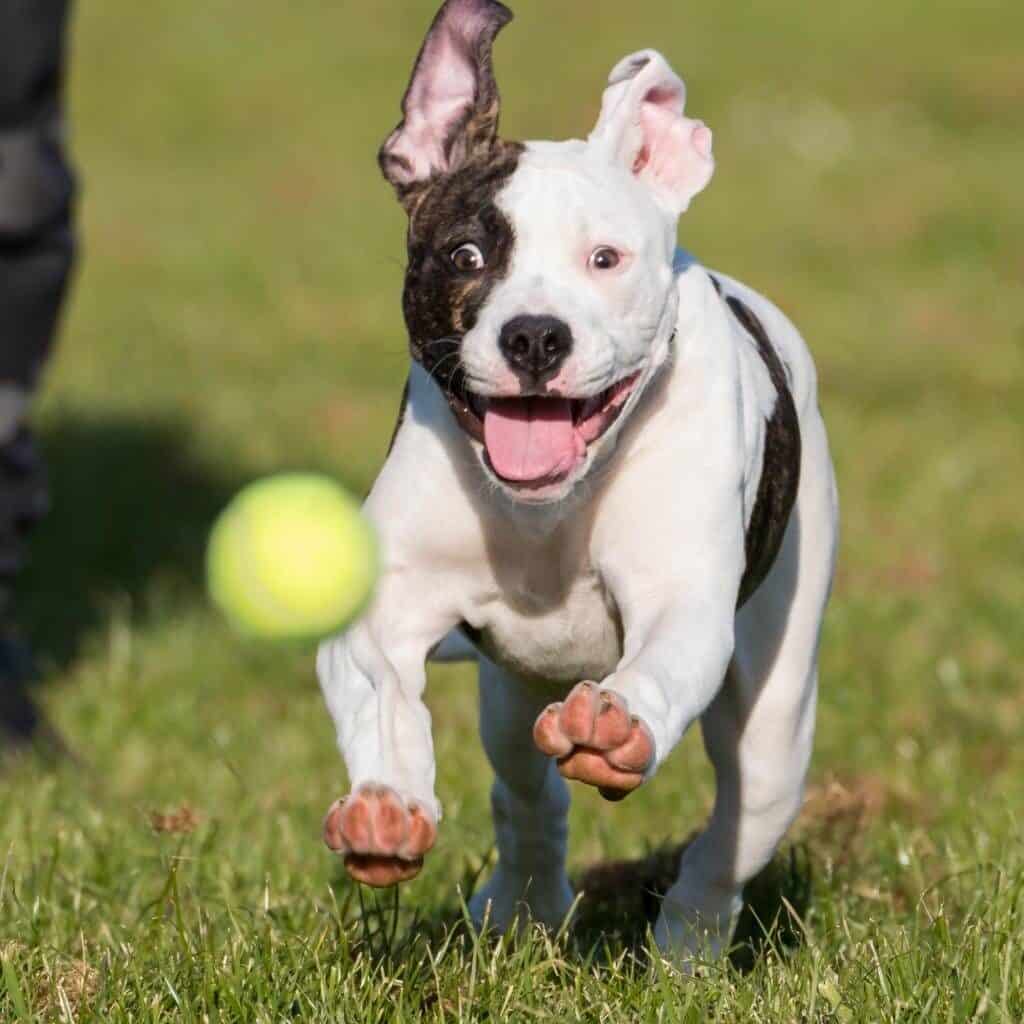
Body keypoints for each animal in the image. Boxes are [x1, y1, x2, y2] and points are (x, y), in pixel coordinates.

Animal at [315, 0, 835, 962]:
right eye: (466, 255)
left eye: (605, 259)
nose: (534, 335)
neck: (546, 512)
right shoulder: (386, 609)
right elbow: (380, 690)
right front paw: (387, 805)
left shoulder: (682, 598)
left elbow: (663, 658)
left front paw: (616, 723)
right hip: (510, 695)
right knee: (527, 792)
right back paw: (522, 903)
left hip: (779, 709)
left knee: (738, 825)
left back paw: (688, 946)